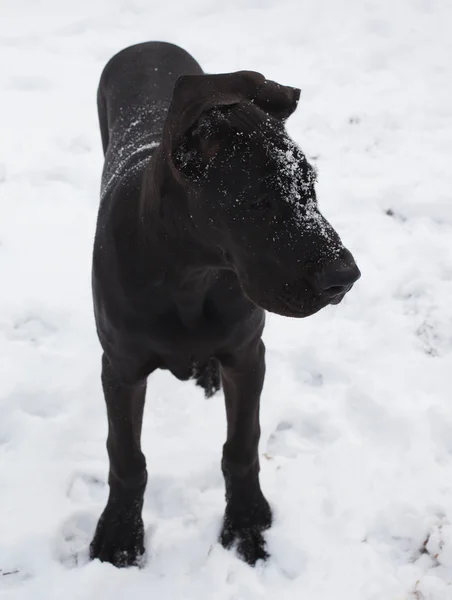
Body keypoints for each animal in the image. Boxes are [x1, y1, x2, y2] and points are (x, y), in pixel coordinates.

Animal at [91, 42, 360, 568]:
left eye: (310, 184)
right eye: (257, 201)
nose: (346, 277)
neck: (189, 275)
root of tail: (149, 43)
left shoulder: (246, 355)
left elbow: (242, 444)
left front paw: (247, 522)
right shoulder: (120, 368)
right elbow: (125, 456)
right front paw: (120, 535)